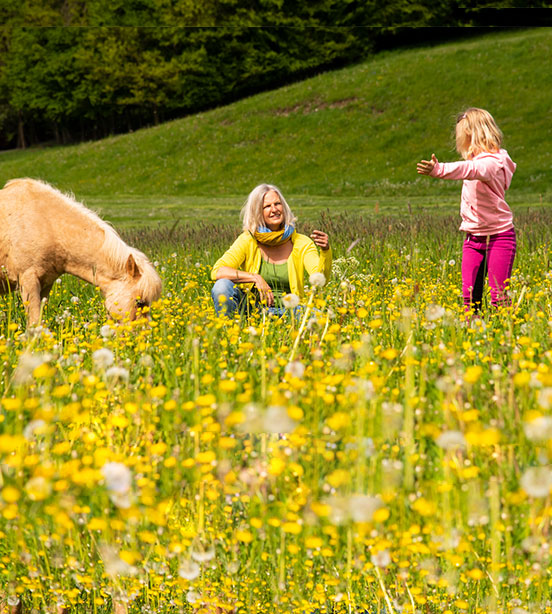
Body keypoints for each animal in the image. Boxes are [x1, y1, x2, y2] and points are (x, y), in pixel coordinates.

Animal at [0, 178, 163, 328]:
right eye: (139, 302)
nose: (145, 334)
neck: (47, 224)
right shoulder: (28, 281)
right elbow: (34, 323)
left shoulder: (45, 285)